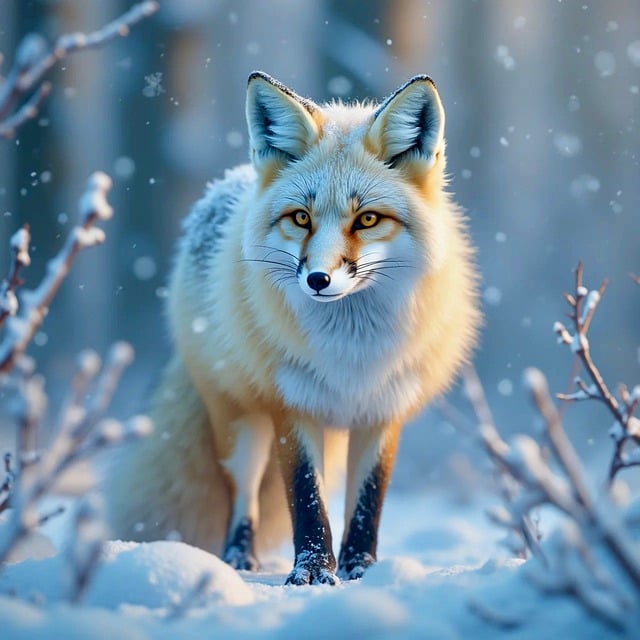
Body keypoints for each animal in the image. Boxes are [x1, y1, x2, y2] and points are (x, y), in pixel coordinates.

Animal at [105, 71, 481, 585]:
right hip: (240, 424)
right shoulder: (292, 406)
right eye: (301, 218)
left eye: (367, 219)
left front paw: (361, 571)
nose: (318, 279)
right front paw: (313, 575)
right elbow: (307, 501)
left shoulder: (384, 410)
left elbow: (367, 505)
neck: (350, 353)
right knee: (242, 493)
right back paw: (239, 560)